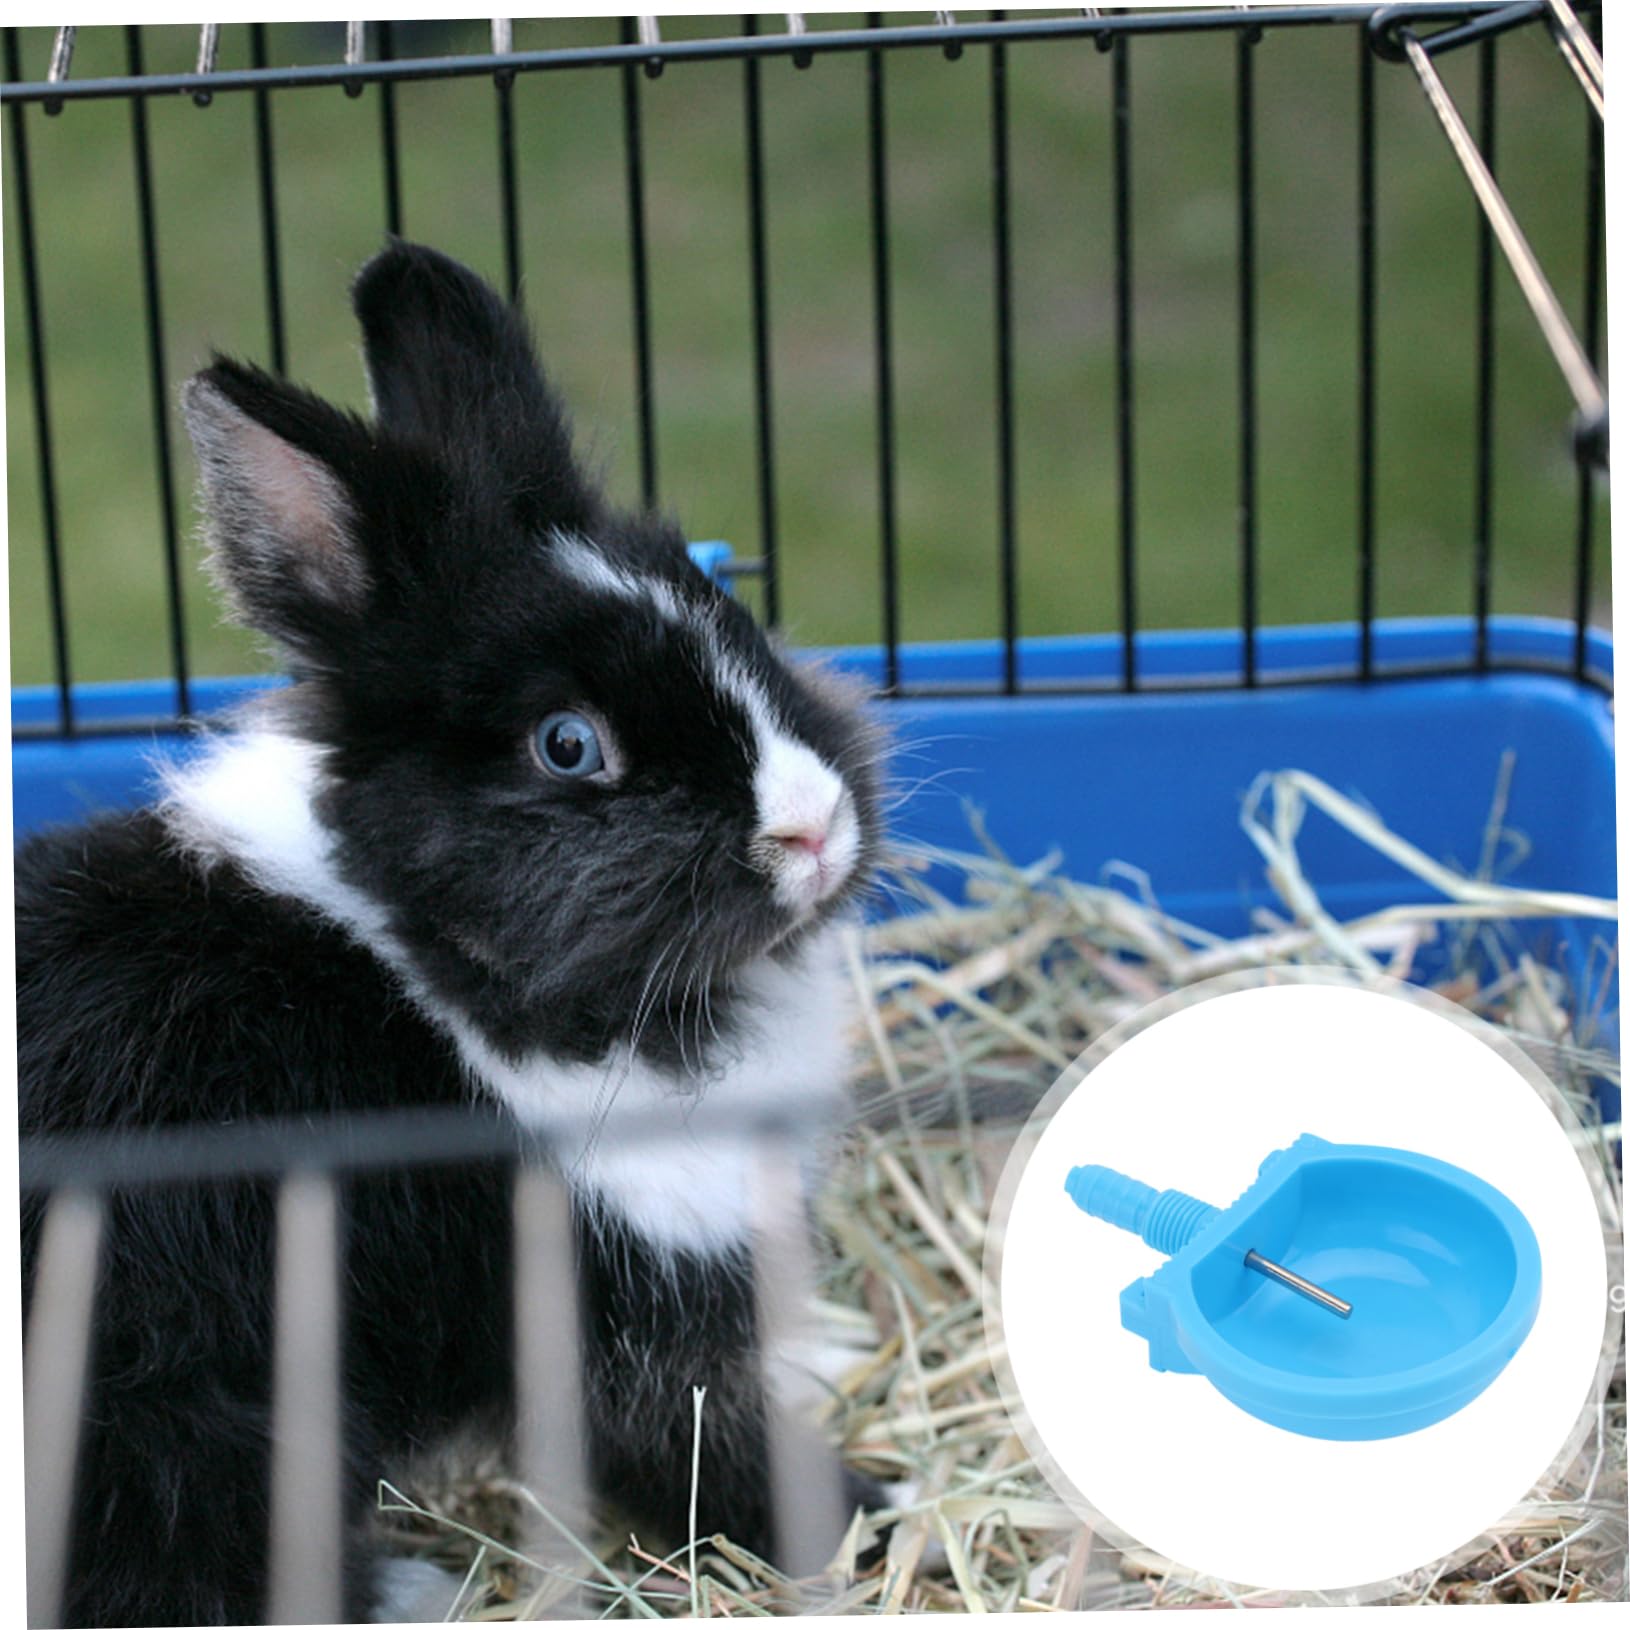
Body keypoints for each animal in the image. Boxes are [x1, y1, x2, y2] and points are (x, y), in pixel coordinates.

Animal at [16, 240, 887, 1626]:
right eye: (569, 745)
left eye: (731, 619)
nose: (813, 828)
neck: (429, 958)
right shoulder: (609, 1309)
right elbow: (700, 1450)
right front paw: (864, 1520)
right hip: (194, 1428)